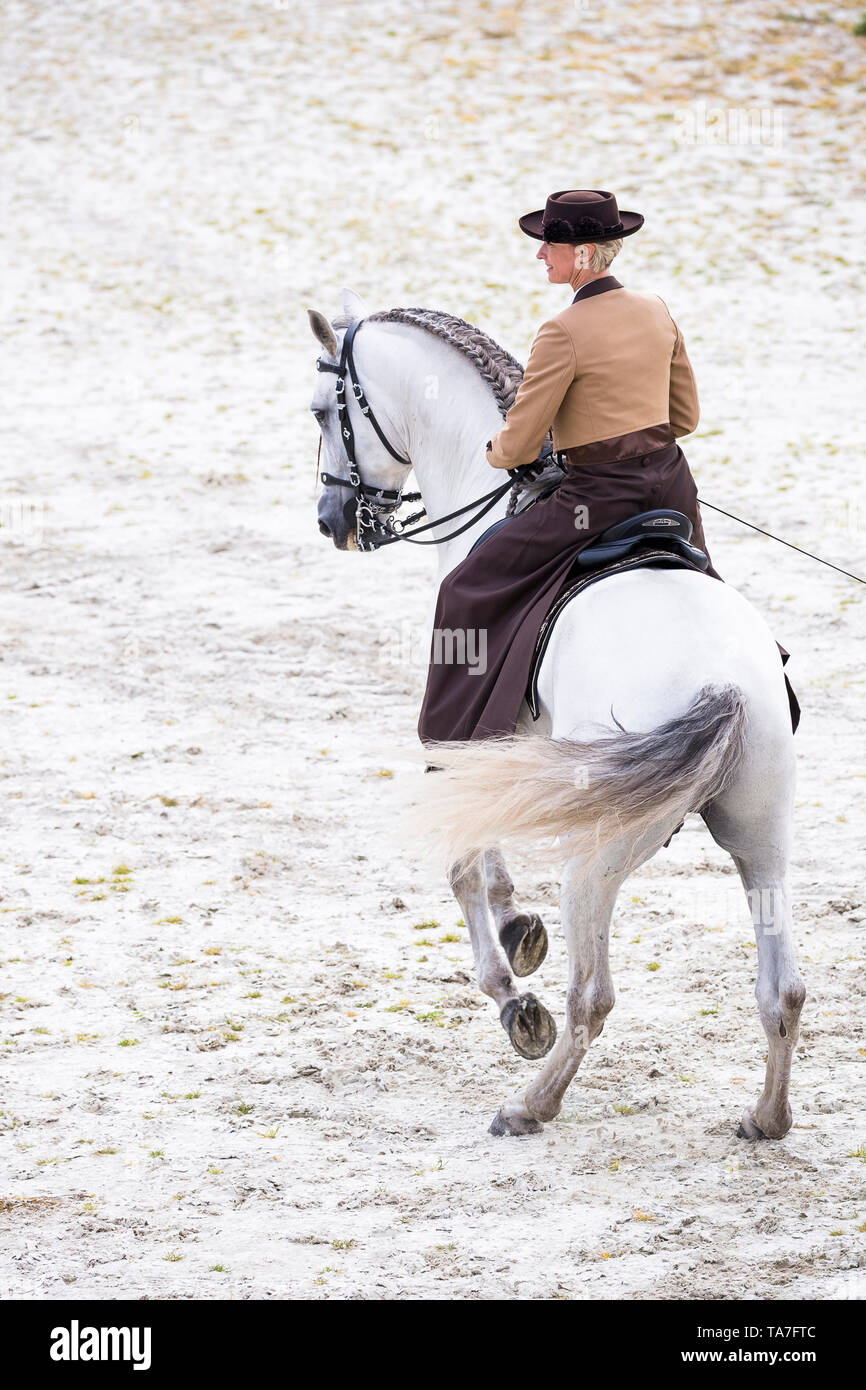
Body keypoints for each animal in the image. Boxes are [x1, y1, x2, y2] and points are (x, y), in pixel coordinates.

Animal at [307, 290, 806, 1139]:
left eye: (320, 411)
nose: (332, 519)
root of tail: (724, 686)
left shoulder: (470, 729)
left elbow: (466, 863)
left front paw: (512, 990)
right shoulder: (518, 748)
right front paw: (518, 929)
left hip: (599, 853)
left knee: (593, 995)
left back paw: (531, 1104)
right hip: (760, 836)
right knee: (783, 991)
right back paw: (764, 1119)